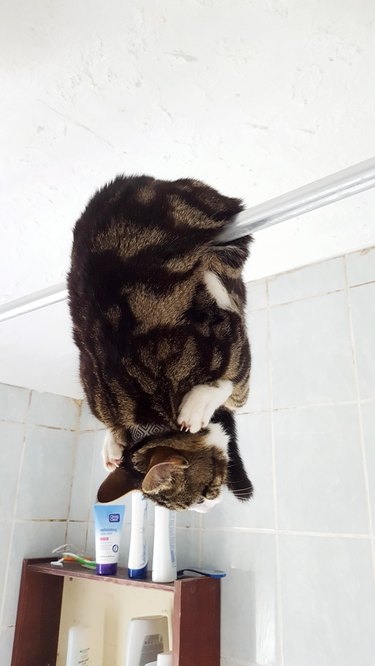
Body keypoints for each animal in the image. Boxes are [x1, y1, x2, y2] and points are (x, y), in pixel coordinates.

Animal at [68, 174, 256, 510]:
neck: (149, 422)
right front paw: (112, 442)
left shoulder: (229, 342)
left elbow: (235, 387)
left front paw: (200, 402)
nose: (209, 507)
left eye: (204, 493)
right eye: (195, 500)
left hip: (220, 229)